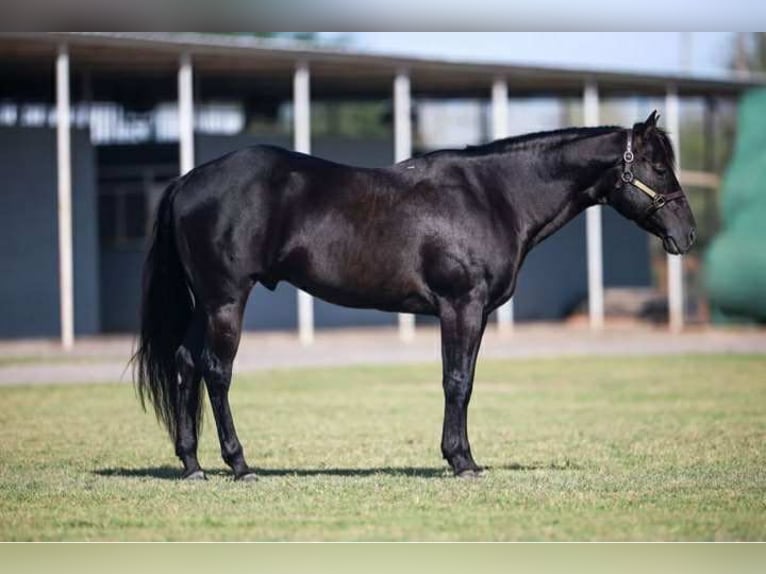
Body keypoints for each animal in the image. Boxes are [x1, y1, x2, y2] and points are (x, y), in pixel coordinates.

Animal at [133, 110, 696, 480]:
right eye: (659, 167)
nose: (687, 234)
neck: (494, 196)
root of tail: (187, 181)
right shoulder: (461, 306)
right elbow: (458, 382)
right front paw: (462, 461)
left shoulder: (471, 312)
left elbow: (462, 380)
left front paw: (459, 456)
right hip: (227, 300)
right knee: (216, 371)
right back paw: (240, 464)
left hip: (206, 304)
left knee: (185, 363)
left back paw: (192, 465)